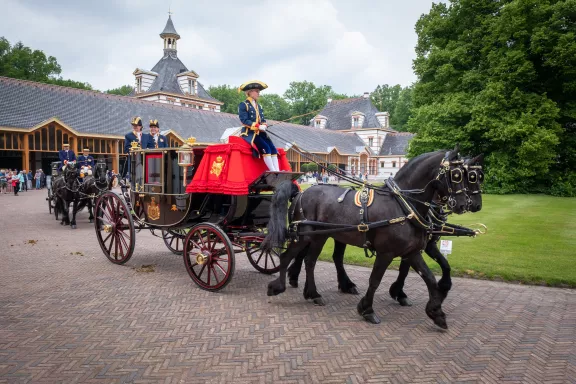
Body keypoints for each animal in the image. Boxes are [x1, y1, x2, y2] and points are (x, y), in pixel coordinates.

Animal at [264, 148, 468, 328]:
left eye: (469, 174)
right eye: (457, 174)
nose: (464, 204)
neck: (403, 205)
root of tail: (300, 193)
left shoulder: (412, 252)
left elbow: (429, 278)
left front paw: (436, 312)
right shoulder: (386, 252)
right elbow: (375, 280)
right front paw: (367, 310)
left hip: (318, 238)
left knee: (309, 261)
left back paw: (312, 293)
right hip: (305, 236)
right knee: (288, 256)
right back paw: (278, 286)